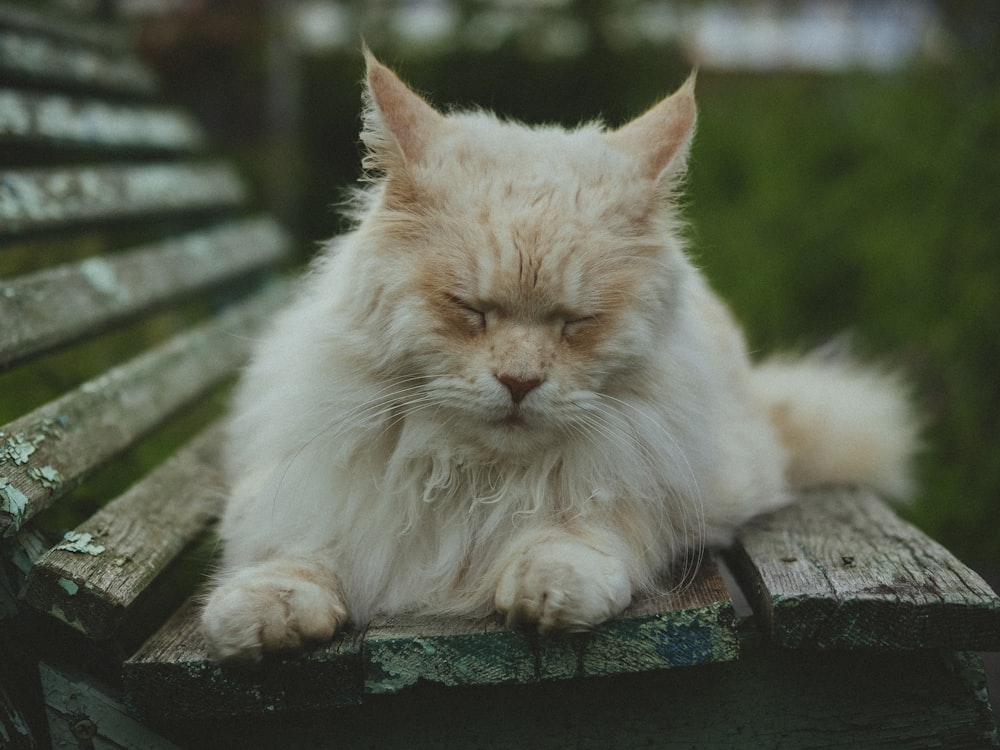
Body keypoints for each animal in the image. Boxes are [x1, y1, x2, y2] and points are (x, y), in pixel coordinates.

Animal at [199, 51, 916, 664]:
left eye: (577, 322)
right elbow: (295, 550)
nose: (519, 381)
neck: (472, 477)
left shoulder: (648, 484)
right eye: (471, 308)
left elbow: (579, 532)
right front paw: (264, 614)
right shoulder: (300, 493)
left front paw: (545, 588)